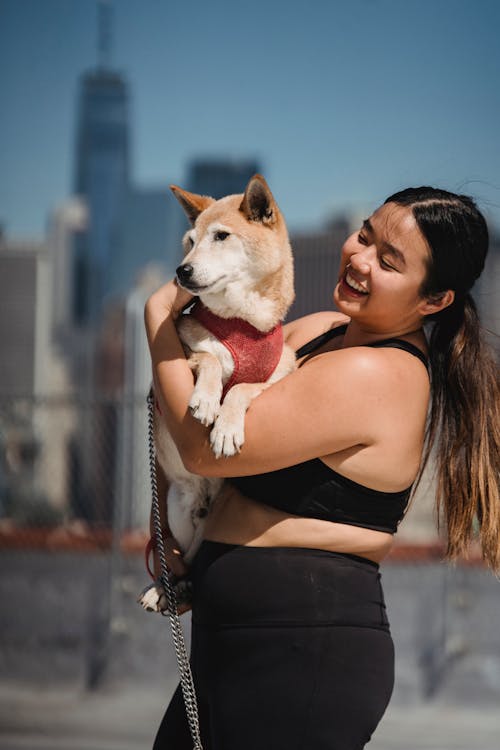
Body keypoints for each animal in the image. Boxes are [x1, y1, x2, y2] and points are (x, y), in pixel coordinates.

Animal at [138, 176, 292, 616]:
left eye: (221, 236)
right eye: (189, 242)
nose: (182, 270)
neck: (242, 321)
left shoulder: (284, 370)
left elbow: (241, 387)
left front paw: (226, 427)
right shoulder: (186, 351)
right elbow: (207, 359)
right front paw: (206, 401)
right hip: (177, 508)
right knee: (179, 560)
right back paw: (165, 589)